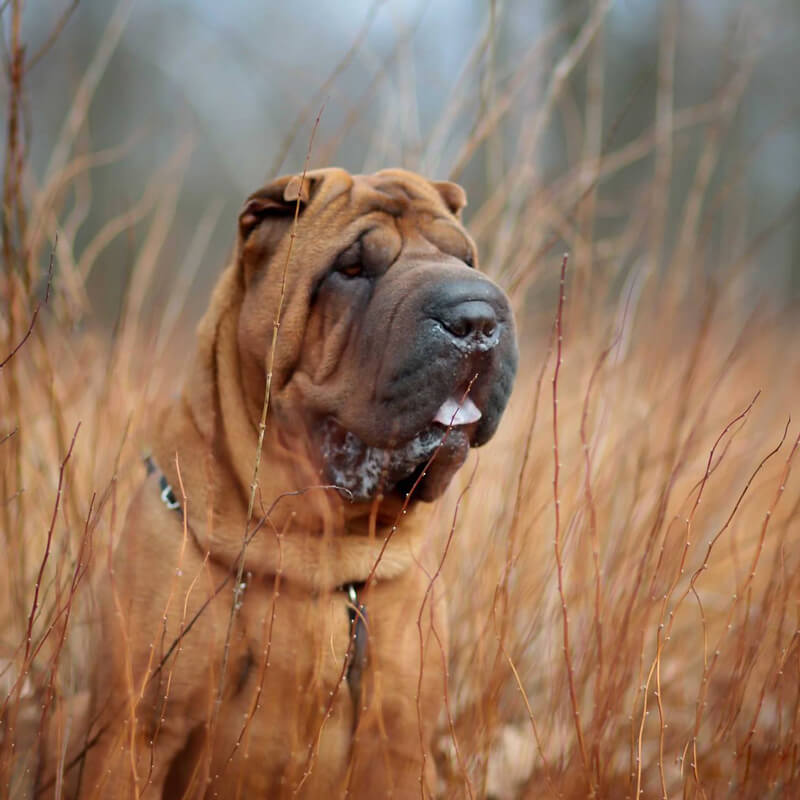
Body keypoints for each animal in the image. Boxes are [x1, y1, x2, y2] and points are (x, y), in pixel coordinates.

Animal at [42, 166, 520, 796]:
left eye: (466, 258)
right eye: (350, 268)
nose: (478, 319)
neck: (316, 553)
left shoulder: (397, 744)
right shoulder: (134, 733)